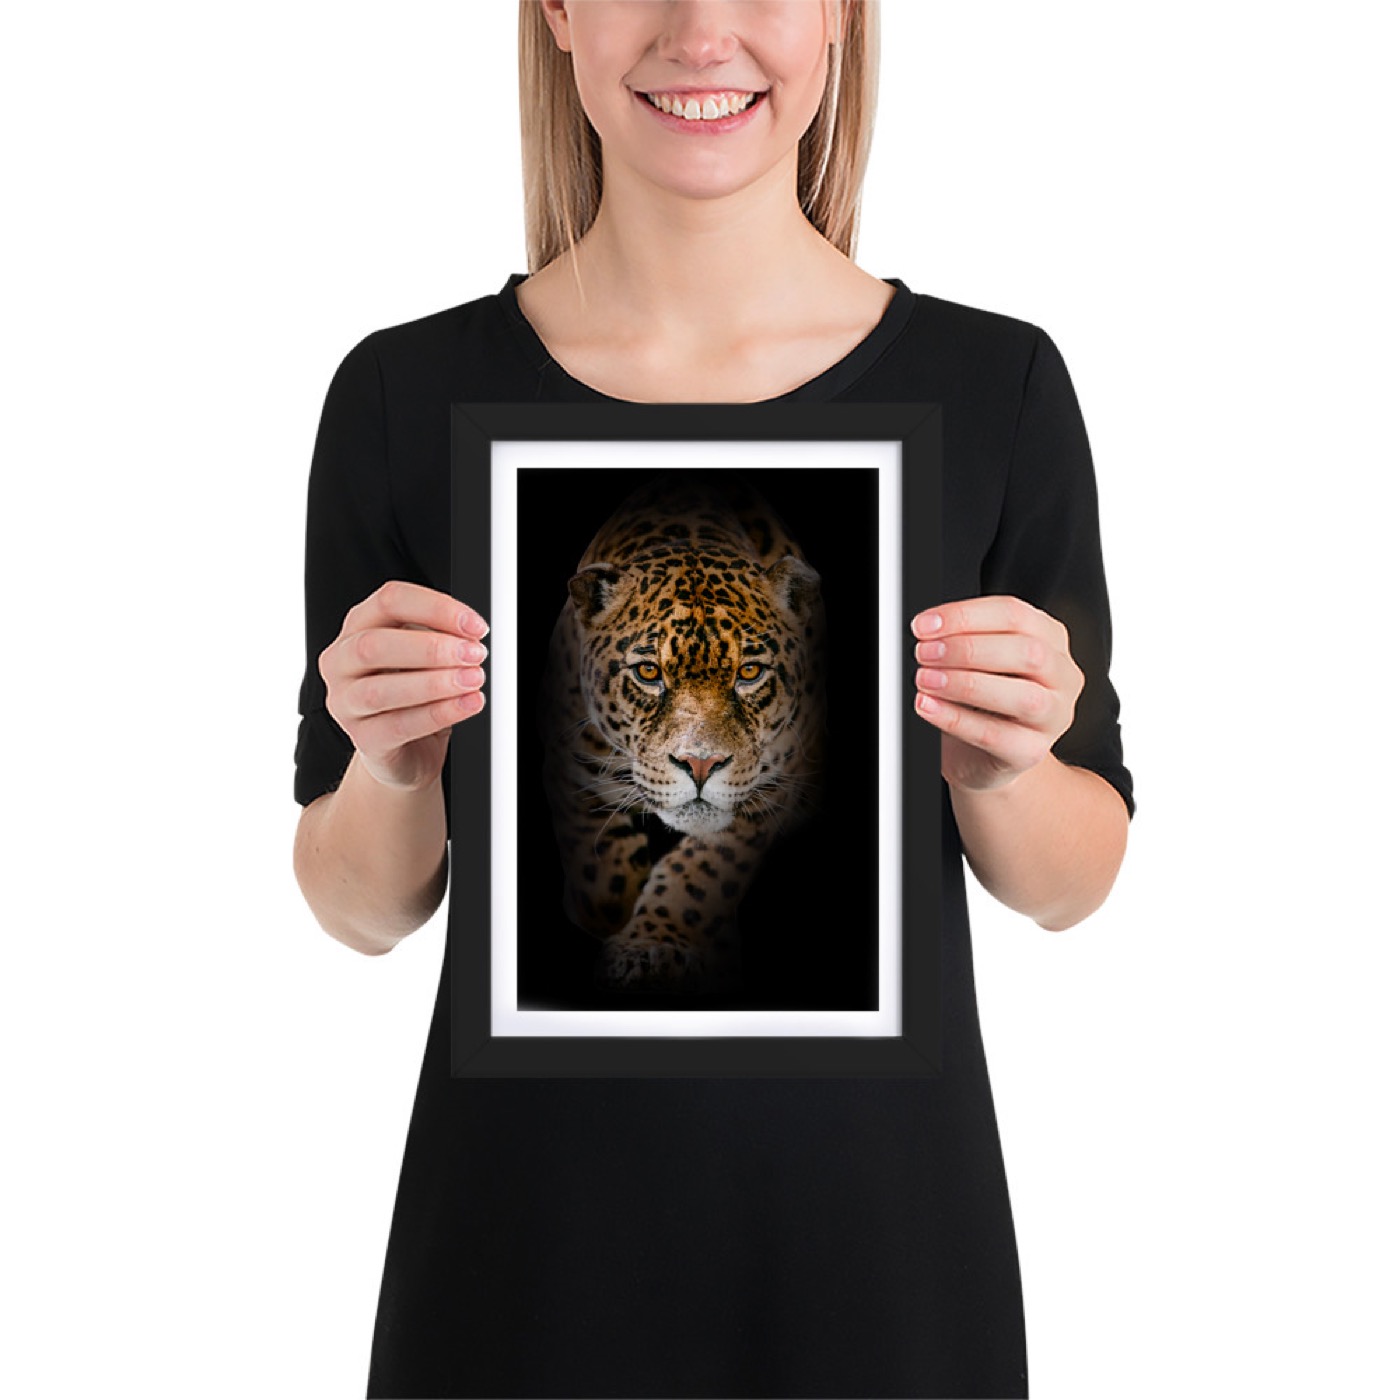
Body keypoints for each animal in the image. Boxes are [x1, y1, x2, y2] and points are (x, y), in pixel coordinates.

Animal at [536, 471, 827, 995]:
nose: (700, 764)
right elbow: (599, 874)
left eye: (749, 672)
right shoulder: (571, 760)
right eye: (649, 672)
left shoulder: (769, 787)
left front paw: (652, 946)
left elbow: (703, 872)